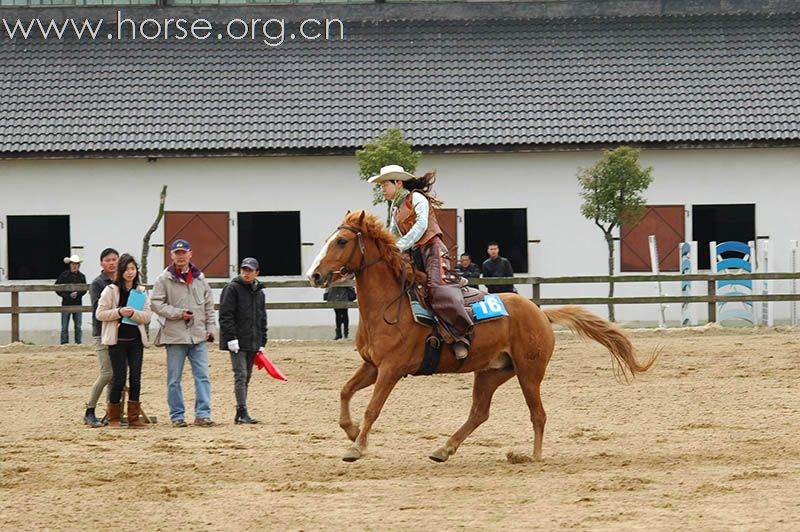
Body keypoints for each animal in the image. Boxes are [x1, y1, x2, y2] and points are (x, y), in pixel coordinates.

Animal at [308, 211, 656, 462]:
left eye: (341, 241)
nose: (315, 275)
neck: (389, 306)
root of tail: (540, 313)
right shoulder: (372, 365)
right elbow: (345, 391)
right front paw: (352, 431)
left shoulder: (391, 370)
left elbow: (372, 407)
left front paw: (356, 448)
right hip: (491, 372)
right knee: (479, 413)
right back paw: (444, 449)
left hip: (529, 373)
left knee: (538, 414)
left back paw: (533, 456)